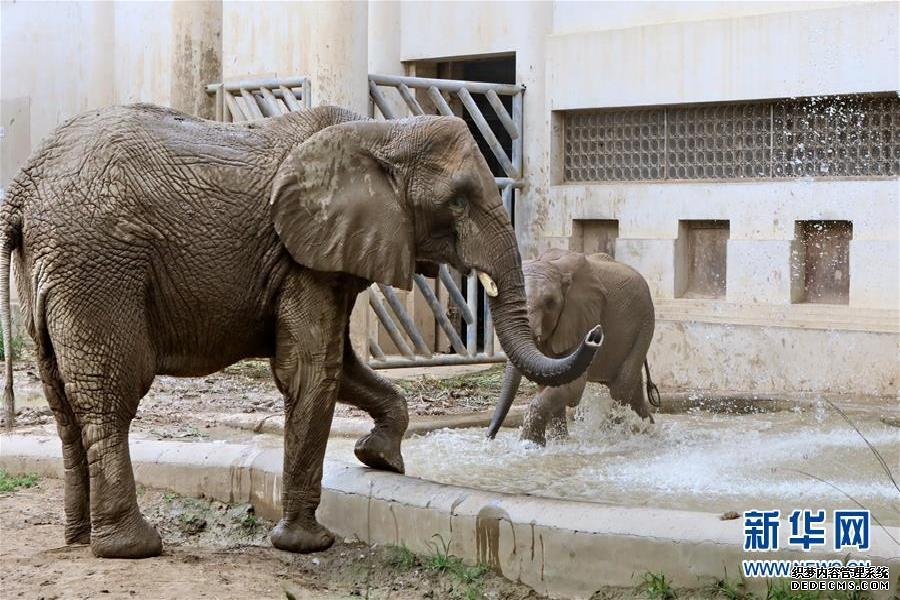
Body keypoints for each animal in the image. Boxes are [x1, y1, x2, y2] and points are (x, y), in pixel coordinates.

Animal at [1, 105, 604, 560]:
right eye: (457, 201)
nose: (595, 336)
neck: (382, 132)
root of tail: (22, 190)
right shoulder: (302, 258)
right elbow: (313, 368)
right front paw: (308, 544)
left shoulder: (327, 252)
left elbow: (344, 367)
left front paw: (380, 460)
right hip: (98, 266)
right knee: (111, 395)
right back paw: (133, 547)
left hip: (51, 273)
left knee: (62, 399)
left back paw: (78, 539)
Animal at [488, 248, 656, 446]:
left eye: (550, 303)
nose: (489, 436)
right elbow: (550, 379)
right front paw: (559, 442)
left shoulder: (582, 317)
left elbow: (574, 385)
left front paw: (529, 445)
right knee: (632, 390)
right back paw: (647, 432)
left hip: (645, 323)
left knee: (621, 388)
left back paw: (614, 436)